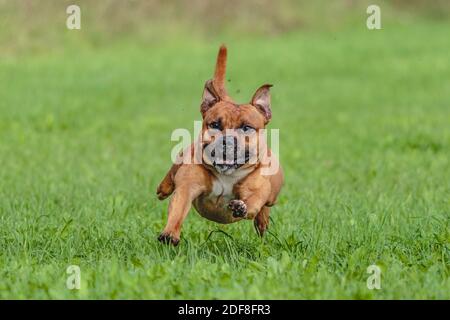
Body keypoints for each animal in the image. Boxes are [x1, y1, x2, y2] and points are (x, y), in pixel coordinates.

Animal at [156, 45, 284, 245]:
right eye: (215, 124)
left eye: (246, 128)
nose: (227, 140)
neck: (227, 175)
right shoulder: (187, 187)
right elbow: (178, 210)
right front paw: (170, 234)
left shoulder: (258, 191)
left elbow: (253, 202)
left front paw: (241, 207)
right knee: (172, 173)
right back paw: (164, 188)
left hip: (272, 194)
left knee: (265, 209)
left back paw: (262, 223)